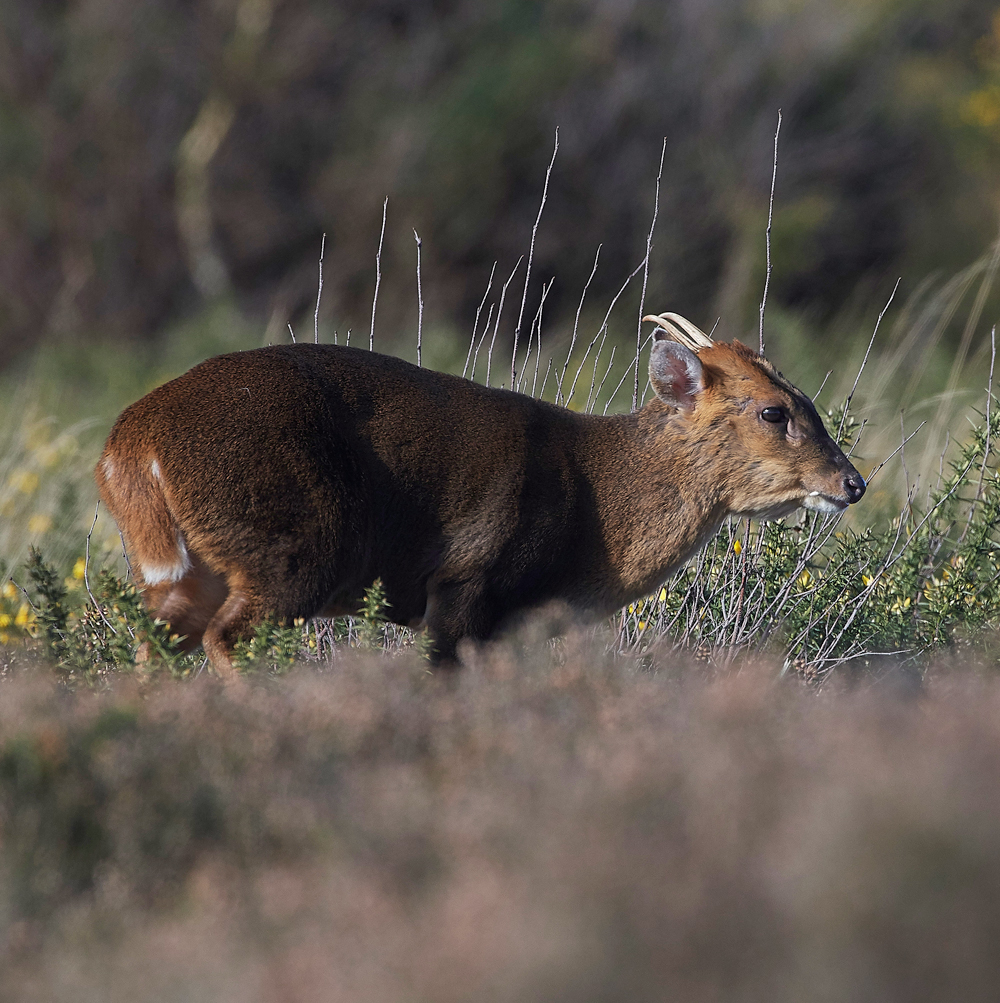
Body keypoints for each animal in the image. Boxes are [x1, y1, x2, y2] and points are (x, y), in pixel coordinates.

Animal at [97, 312, 862, 674]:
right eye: (774, 411)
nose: (852, 482)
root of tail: (130, 445)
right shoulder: (471, 580)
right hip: (292, 543)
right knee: (227, 637)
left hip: (183, 568)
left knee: (153, 644)